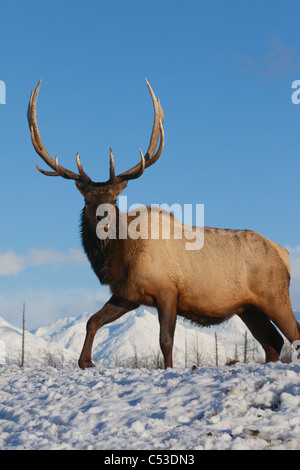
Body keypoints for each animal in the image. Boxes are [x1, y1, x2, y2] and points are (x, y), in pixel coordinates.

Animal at [27, 79, 300, 370]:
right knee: (273, 342)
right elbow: (92, 320)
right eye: (88, 200)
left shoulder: (168, 291)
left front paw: (168, 368)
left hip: (275, 296)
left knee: (292, 335)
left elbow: (166, 340)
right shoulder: (127, 295)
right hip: (249, 308)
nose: (104, 221)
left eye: (114, 200)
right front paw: (86, 361)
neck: (120, 258)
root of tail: (285, 255)